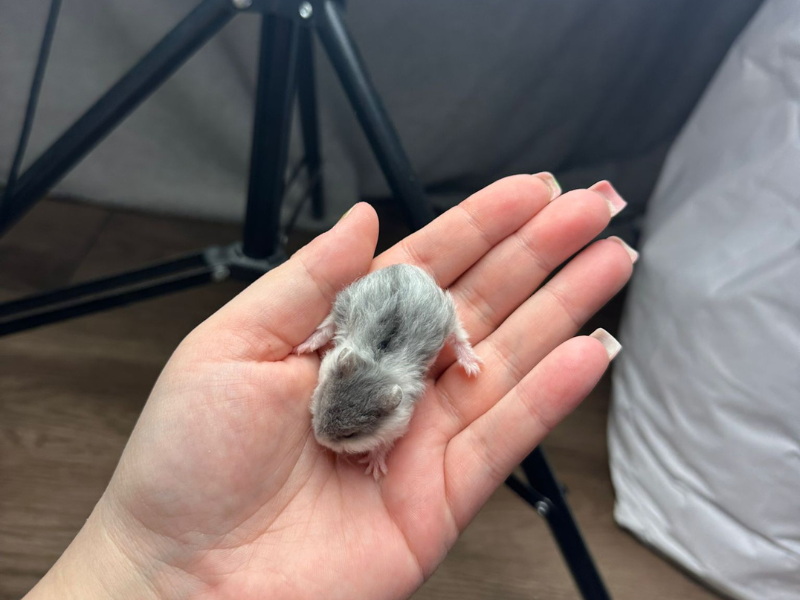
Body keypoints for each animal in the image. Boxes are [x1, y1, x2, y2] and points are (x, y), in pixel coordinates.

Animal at [294, 263, 482, 479]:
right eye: (321, 404)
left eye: (350, 435)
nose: (319, 439)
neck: (376, 367)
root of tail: (406, 268)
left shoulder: (397, 423)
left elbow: (383, 445)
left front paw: (374, 469)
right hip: (346, 301)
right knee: (327, 325)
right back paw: (303, 347)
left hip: (448, 318)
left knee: (459, 337)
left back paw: (472, 368)